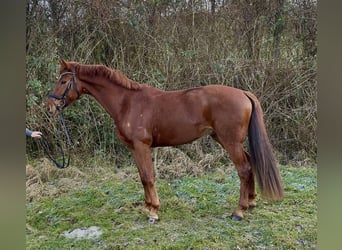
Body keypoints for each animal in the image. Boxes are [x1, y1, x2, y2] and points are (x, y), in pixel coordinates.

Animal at [47, 59, 284, 223]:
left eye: (63, 81)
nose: (50, 107)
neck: (128, 102)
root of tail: (243, 93)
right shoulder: (135, 149)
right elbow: (143, 177)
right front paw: (147, 207)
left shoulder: (141, 146)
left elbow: (148, 177)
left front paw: (153, 212)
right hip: (226, 140)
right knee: (250, 163)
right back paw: (251, 201)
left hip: (230, 142)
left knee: (244, 169)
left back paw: (239, 211)